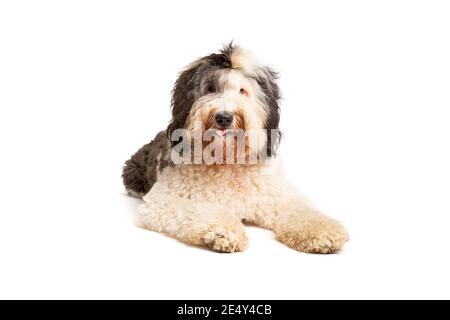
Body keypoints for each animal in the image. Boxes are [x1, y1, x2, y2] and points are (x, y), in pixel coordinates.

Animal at [122, 43, 348, 252]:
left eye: (242, 91)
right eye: (210, 88)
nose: (224, 117)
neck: (226, 161)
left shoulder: (278, 196)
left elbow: (300, 210)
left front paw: (322, 232)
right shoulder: (162, 201)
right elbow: (197, 209)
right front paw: (223, 231)